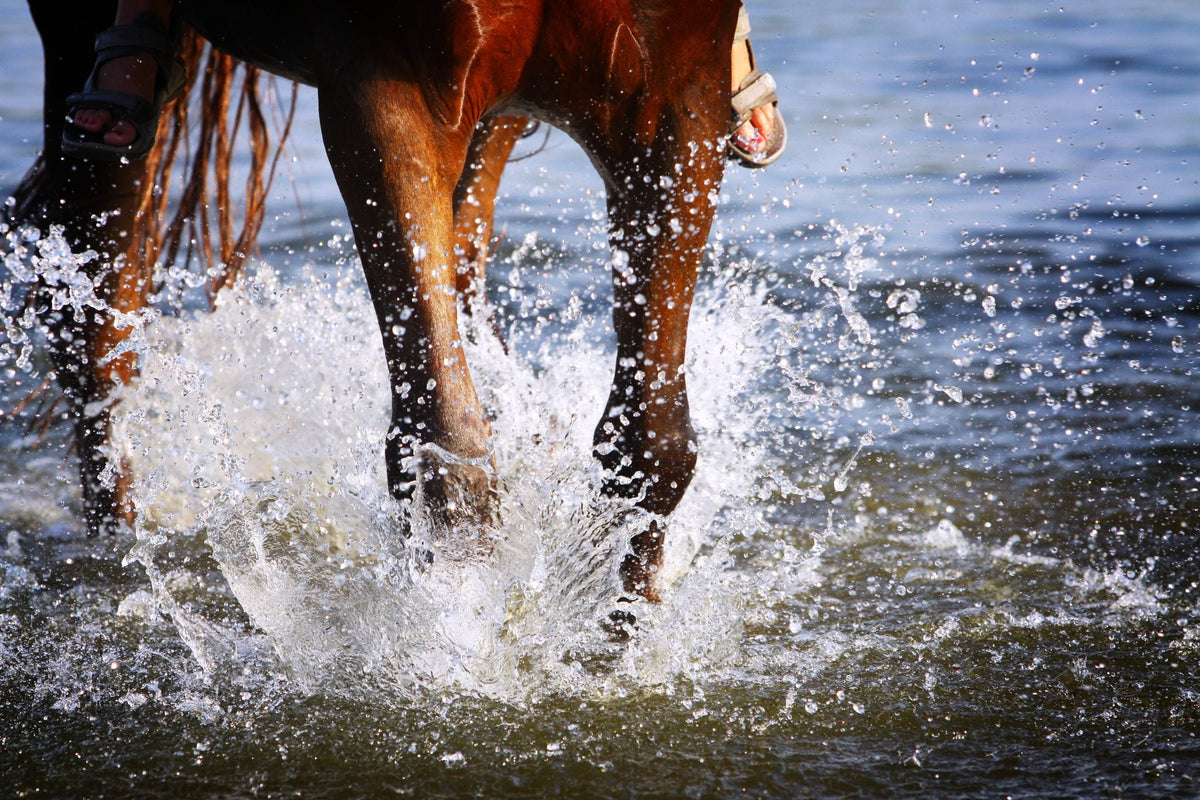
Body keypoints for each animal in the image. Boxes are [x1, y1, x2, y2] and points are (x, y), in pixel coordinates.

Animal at [9, 0, 738, 601]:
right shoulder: (387, 83)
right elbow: (446, 451)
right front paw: (461, 643)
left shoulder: (678, 96)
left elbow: (653, 444)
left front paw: (609, 644)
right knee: (92, 325)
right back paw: (120, 548)